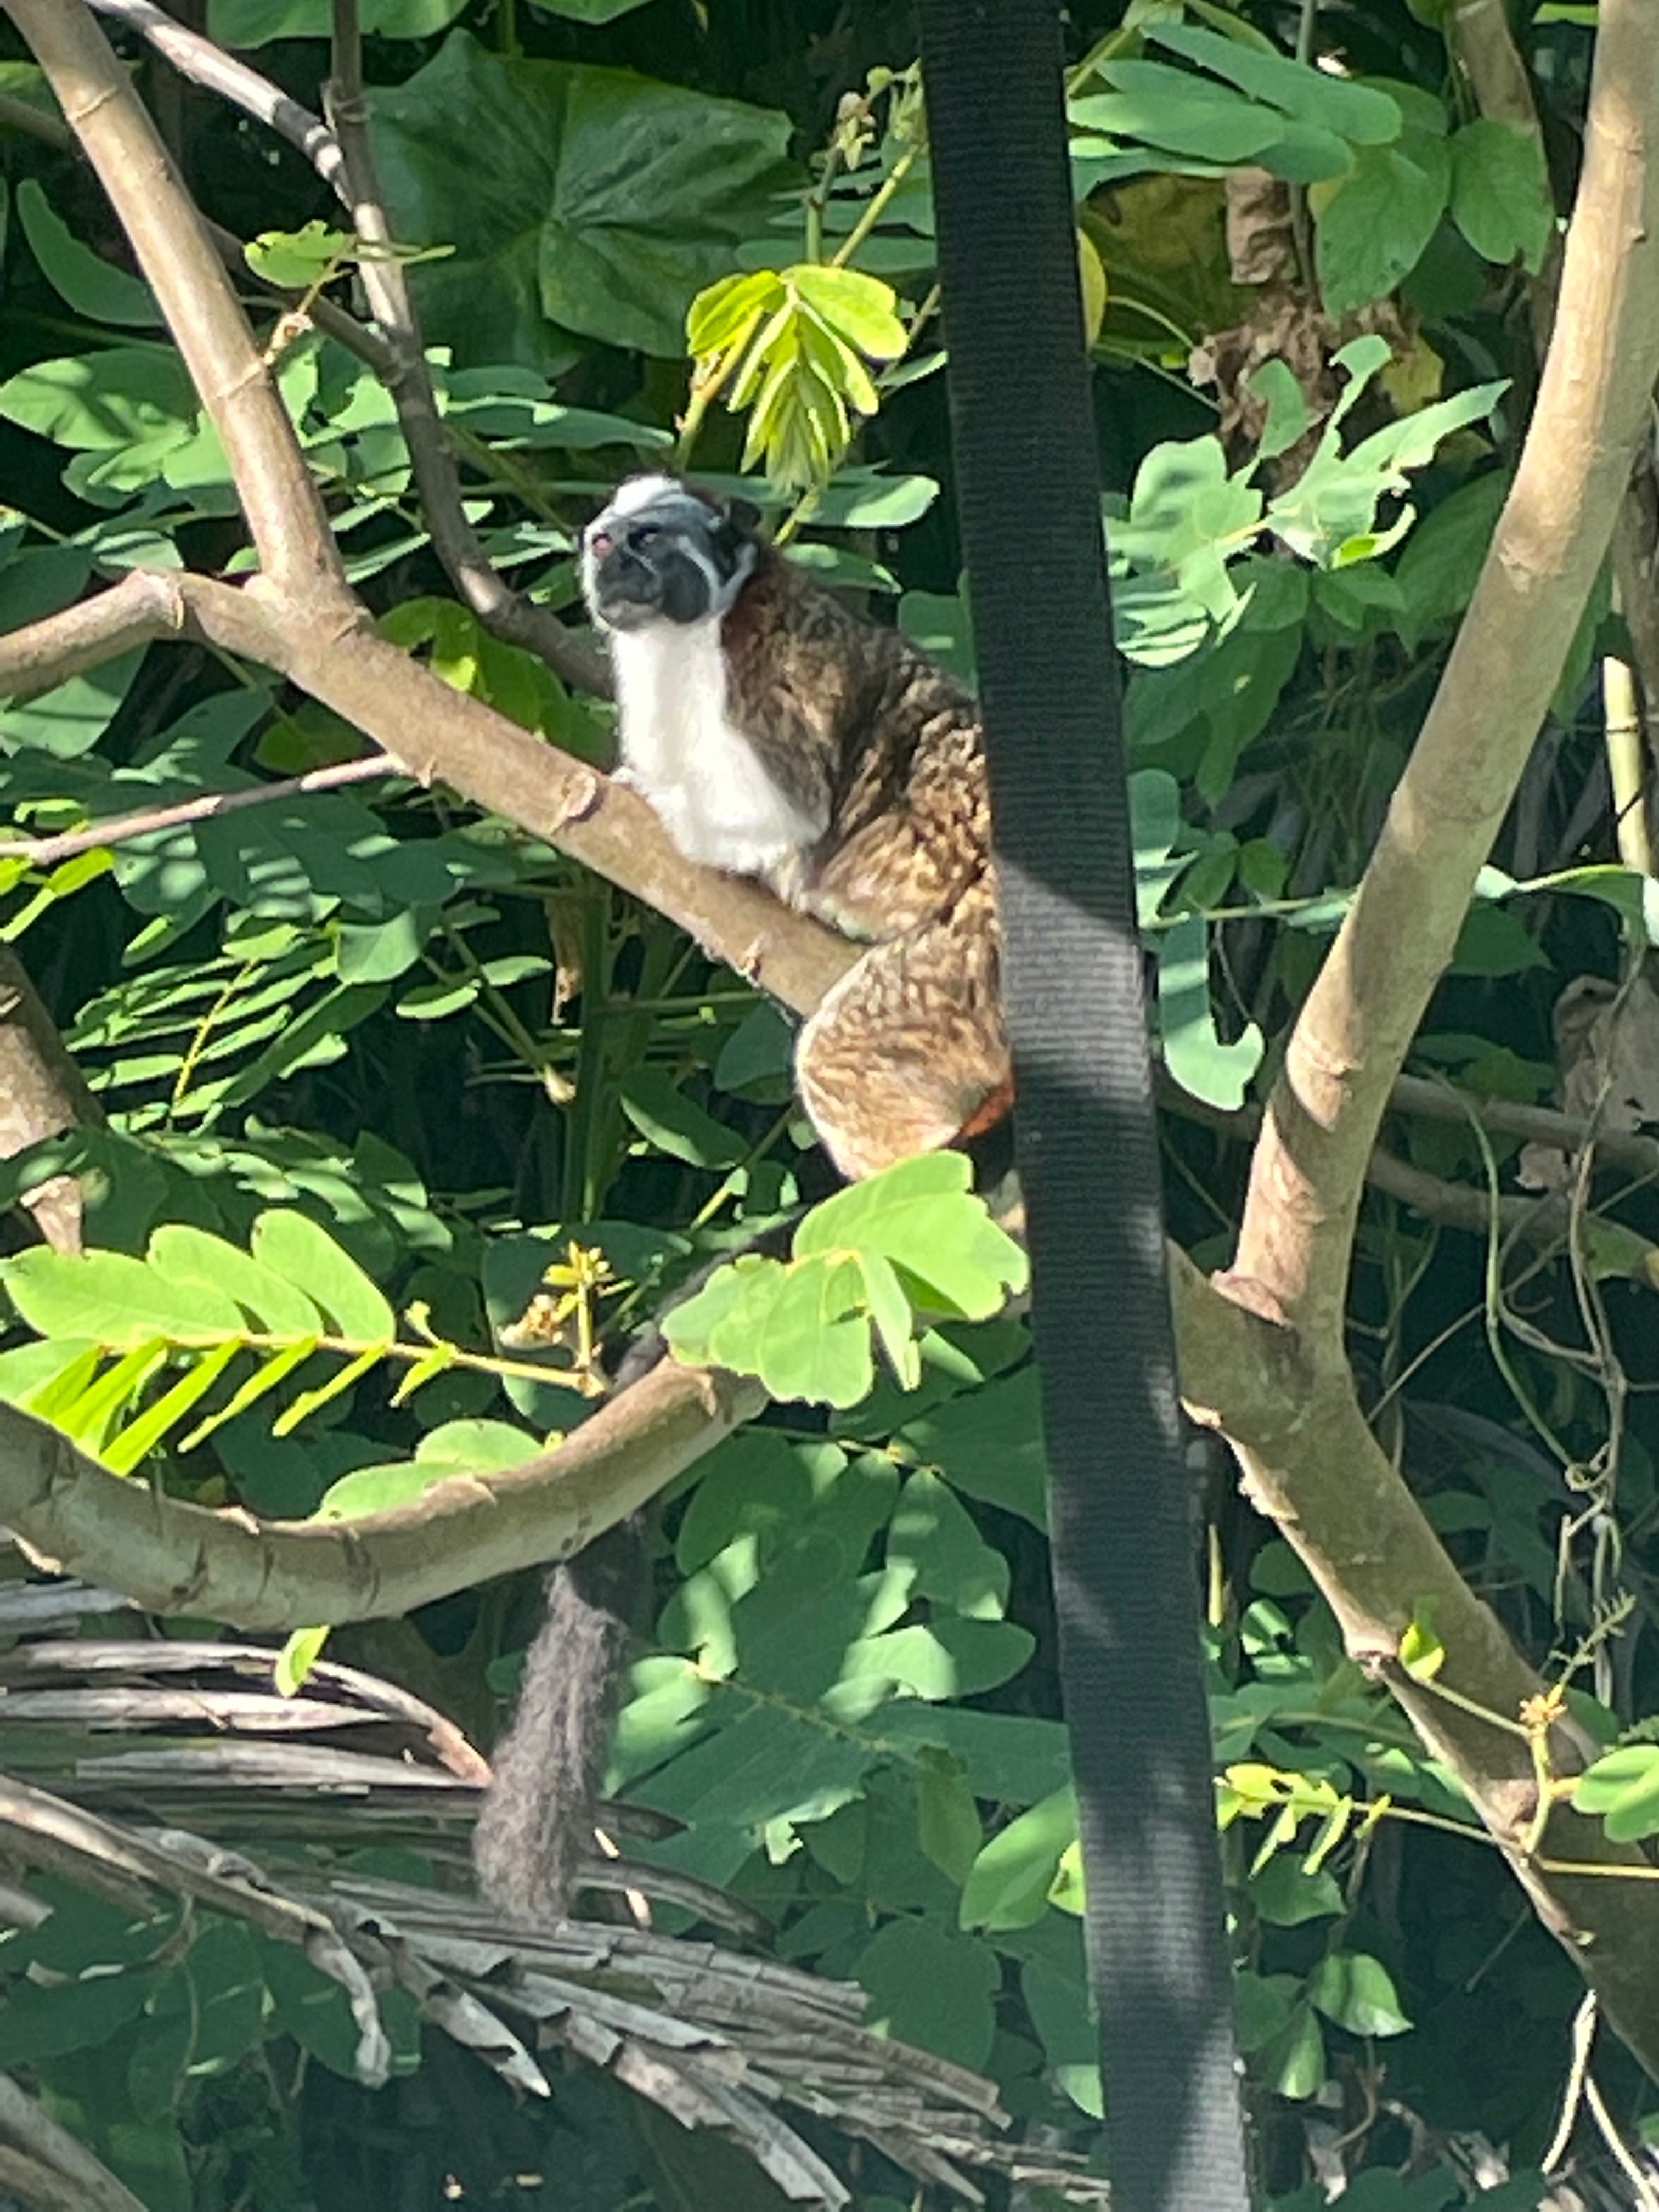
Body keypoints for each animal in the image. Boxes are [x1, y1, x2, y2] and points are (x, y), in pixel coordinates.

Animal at [472, 475, 1010, 1923]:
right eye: (606, 539)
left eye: (654, 542)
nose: (612, 560)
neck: (679, 648)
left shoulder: (774, 670)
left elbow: (786, 818)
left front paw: (648, 808)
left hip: (977, 967)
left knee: (846, 1044)